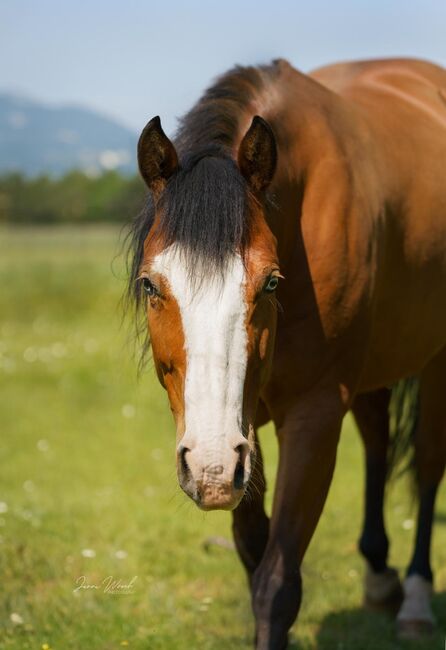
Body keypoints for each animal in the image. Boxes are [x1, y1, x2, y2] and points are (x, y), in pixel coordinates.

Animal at [126, 58, 446, 644]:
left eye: (271, 283)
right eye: (150, 285)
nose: (207, 465)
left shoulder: (313, 413)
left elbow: (277, 582)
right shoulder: (243, 429)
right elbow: (254, 550)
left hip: (437, 359)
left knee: (429, 462)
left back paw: (415, 596)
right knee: (378, 438)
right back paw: (379, 574)